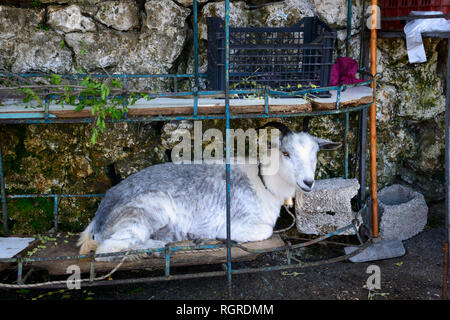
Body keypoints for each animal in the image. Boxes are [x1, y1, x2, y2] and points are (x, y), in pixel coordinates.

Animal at [78, 122, 342, 260]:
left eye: (315, 154)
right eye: (286, 153)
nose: (308, 182)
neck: (262, 182)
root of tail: (98, 218)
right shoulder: (237, 223)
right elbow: (265, 231)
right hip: (149, 210)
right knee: (108, 249)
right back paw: (161, 246)